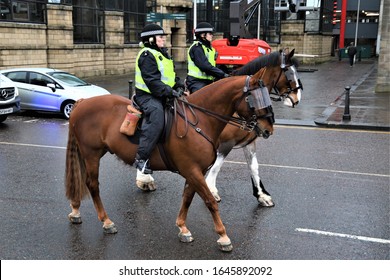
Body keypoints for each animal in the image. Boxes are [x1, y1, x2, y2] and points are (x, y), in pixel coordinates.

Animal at [64, 65, 276, 252]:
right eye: (255, 98)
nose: (268, 130)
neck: (199, 121)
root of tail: (82, 102)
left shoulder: (195, 171)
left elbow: (187, 198)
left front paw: (182, 227)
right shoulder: (192, 170)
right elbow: (210, 201)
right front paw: (223, 236)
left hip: (90, 153)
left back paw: (75, 210)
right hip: (91, 154)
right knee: (92, 185)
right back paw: (106, 221)